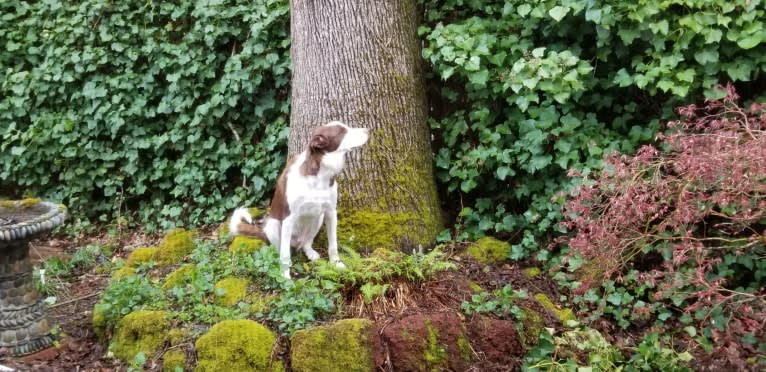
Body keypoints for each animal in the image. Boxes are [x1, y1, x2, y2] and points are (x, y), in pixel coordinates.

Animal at [230, 122, 370, 280]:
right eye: (343, 131)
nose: (368, 130)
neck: (319, 175)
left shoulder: (330, 212)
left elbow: (333, 244)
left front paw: (336, 264)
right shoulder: (288, 218)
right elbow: (284, 254)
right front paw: (285, 277)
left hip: (318, 219)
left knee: (306, 243)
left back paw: (310, 253)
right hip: (273, 225)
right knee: (280, 249)